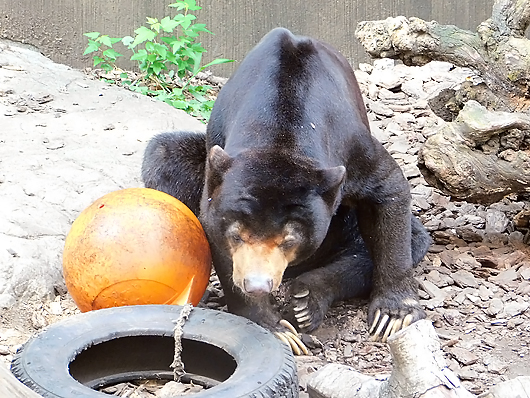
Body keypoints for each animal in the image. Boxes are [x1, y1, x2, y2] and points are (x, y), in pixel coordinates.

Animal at [142, 28, 432, 352]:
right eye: (237, 235)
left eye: (289, 239)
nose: (258, 285)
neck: (283, 132)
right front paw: (275, 329)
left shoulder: (351, 148)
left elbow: (388, 191)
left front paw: (393, 315)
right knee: (164, 155)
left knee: (409, 238)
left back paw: (306, 299)